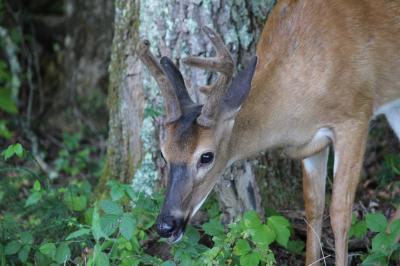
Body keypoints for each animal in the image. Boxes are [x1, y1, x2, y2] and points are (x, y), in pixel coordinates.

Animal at [138, 1, 400, 264]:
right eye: (163, 153)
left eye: (206, 156)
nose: (165, 226)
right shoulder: (312, 142)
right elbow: (313, 206)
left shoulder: (355, 116)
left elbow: (340, 211)